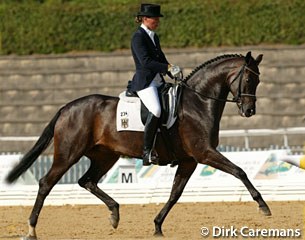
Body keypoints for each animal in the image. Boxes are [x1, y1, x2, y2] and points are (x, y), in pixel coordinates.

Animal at [5, 51, 270, 239]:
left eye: (258, 80)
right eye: (248, 78)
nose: (249, 111)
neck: (198, 102)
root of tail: (67, 107)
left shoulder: (189, 161)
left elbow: (175, 193)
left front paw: (157, 226)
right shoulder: (204, 153)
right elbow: (240, 171)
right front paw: (263, 206)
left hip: (105, 156)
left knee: (86, 180)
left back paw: (114, 214)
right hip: (68, 154)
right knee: (46, 183)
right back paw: (31, 229)